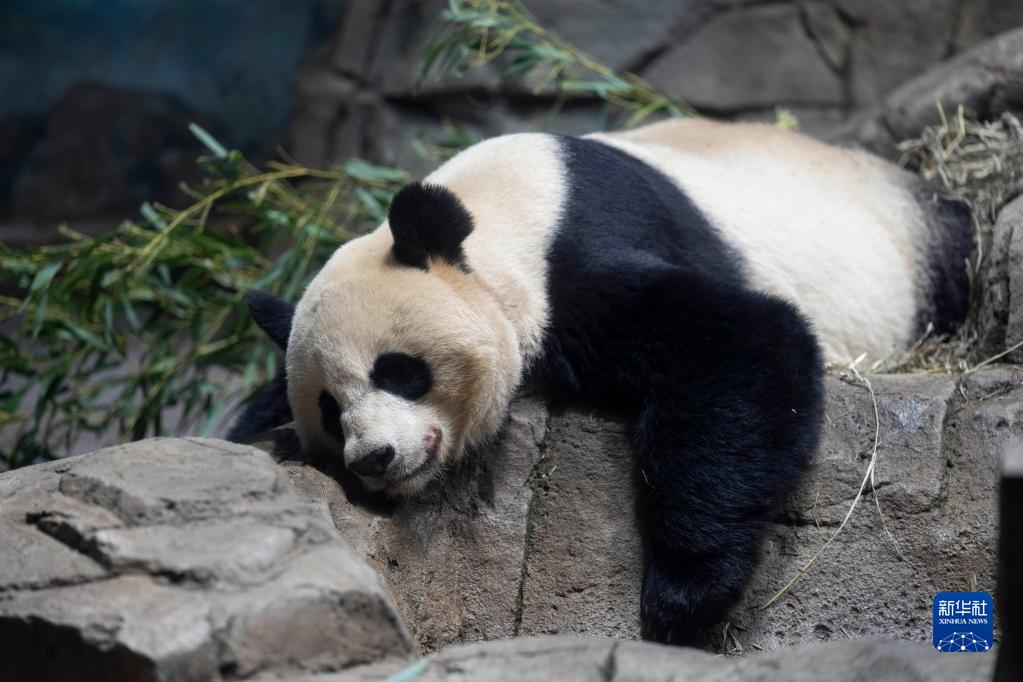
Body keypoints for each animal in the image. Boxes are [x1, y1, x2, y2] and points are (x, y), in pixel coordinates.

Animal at [228, 117, 969, 646]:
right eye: (330, 409)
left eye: (399, 371)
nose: (374, 457)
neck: (501, 210)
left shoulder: (572, 261)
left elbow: (741, 346)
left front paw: (683, 598)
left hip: (918, 262)